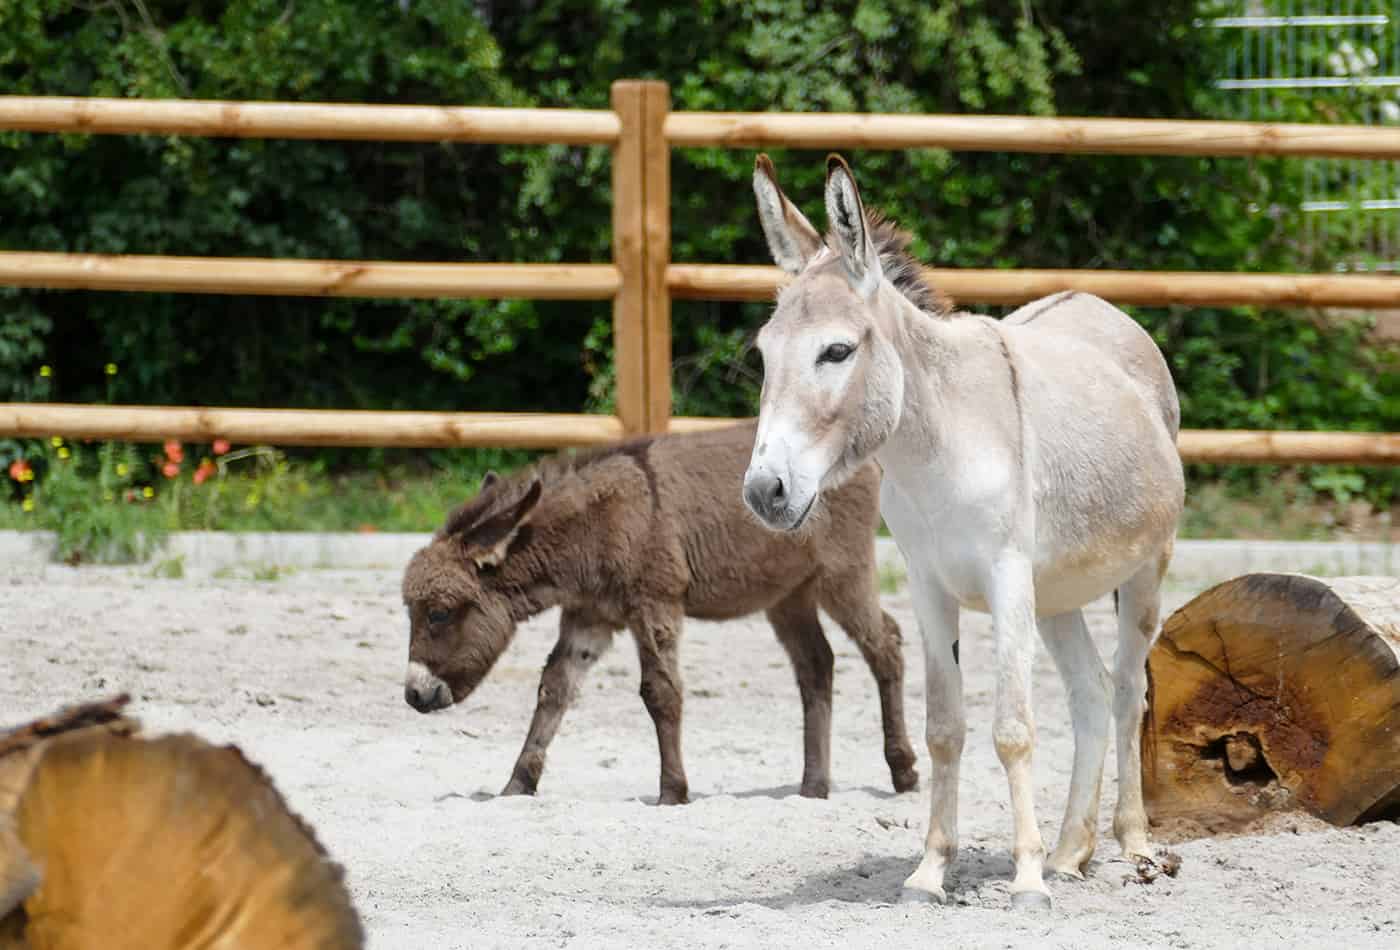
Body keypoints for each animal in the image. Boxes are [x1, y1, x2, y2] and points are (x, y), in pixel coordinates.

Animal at [403, 422, 918, 800]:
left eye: (439, 614)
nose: (414, 696)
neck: (597, 526)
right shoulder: (590, 618)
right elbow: (554, 690)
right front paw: (517, 784)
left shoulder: (654, 603)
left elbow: (660, 693)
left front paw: (672, 790)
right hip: (787, 595)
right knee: (816, 665)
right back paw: (812, 787)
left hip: (842, 575)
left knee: (885, 645)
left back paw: (903, 771)